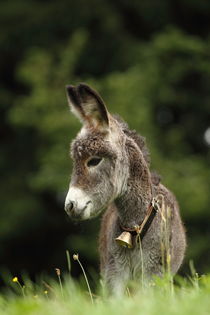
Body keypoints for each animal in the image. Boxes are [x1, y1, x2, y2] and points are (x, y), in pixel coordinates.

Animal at [65, 83, 186, 296]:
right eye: (74, 161)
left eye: (94, 160)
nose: (70, 205)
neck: (135, 227)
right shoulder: (115, 272)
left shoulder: (154, 273)